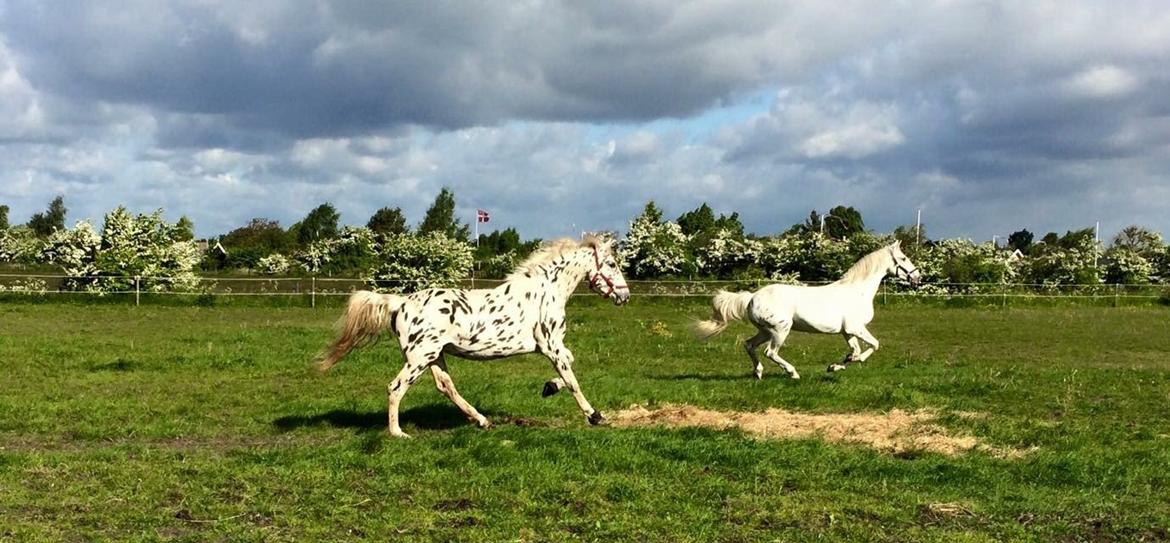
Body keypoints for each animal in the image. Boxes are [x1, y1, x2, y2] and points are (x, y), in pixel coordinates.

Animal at [313, 235, 631, 440]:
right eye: (612, 264)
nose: (624, 296)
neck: (544, 291)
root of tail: (400, 303)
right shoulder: (550, 346)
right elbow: (573, 380)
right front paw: (594, 415)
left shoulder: (554, 347)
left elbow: (569, 367)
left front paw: (549, 388)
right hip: (419, 357)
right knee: (396, 387)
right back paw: (398, 433)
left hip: (435, 356)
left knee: (445, 386)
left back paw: (482, 421)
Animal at [687, 242, 917, 376]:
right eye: (904, 258)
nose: (917, 276)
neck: (857, 291)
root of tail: (752, 297)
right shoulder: (856, 328)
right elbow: (873, 346)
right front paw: (842, 363)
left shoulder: (847, 332)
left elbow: (856, 350)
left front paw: (836, 366)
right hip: (780, 330)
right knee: (770, 352)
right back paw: (792, 373)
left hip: (765, 331)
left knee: (749, 345)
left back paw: (758, 373)